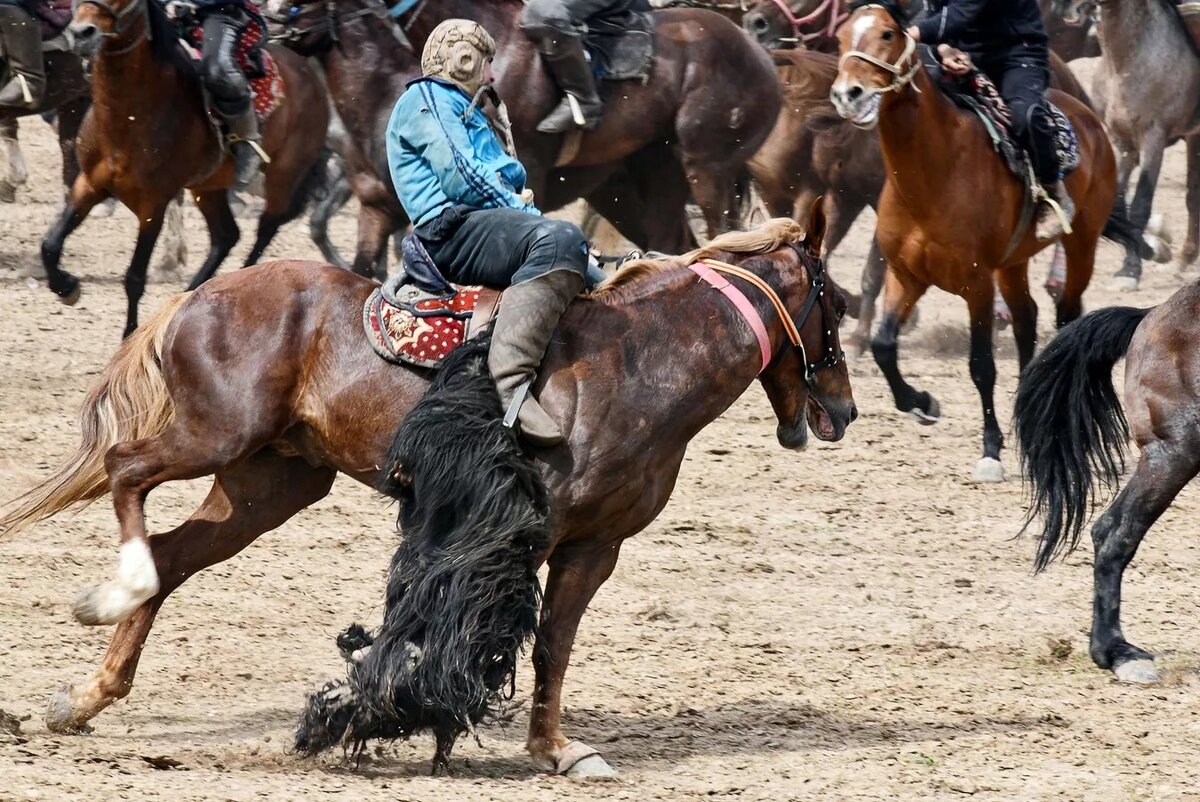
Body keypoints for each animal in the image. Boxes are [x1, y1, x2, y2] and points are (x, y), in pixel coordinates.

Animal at [2, 211, 864, 777]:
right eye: (842, 305)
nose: (847, 410)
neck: (638, 359)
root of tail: (203, 294)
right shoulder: (509, 534)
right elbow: (463, 623)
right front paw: (379, 716)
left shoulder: (594, 546)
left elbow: (554, 643)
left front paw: (554, 750)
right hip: (213, 437)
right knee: (126, 474)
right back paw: (114, 591)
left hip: (266, 486)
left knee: (173, 557)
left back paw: (86, 696)